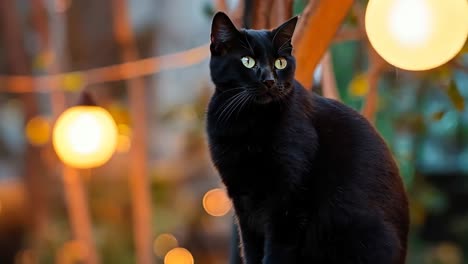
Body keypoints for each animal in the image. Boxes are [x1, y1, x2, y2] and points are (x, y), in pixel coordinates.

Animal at [207, 12, 408, 264]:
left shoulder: (289, 201)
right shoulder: (243, 201)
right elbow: (251, 249)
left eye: (280, 63)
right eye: (248, 61)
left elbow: (276, 251)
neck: (246, 122)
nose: (270, 81)